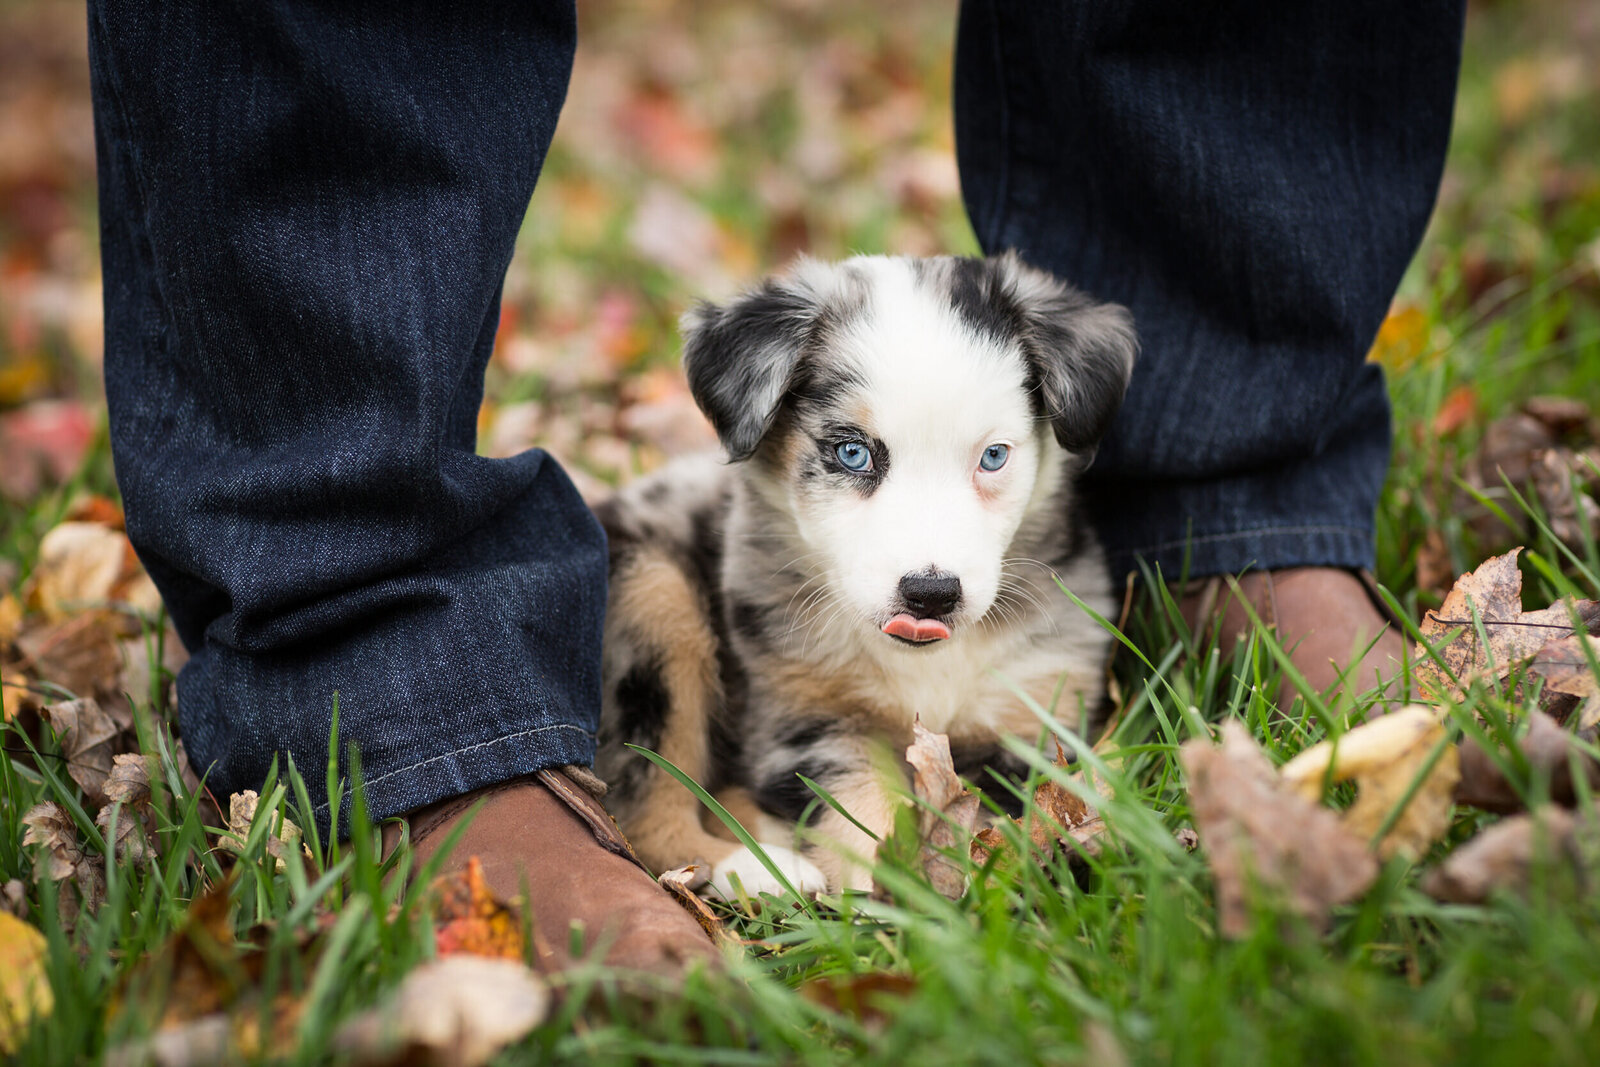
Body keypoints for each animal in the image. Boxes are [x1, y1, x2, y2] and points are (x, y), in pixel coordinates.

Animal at [592, 251, 1139, 895]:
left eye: (994, 456)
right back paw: (761, 871)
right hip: (653, 595)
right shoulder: (807, 717)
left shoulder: (1033, 713)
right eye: (852, 453)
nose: (931, 595)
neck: (924, 666)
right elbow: (858, 811)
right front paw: (889, 900)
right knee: (644, 809)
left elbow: (999, 825)